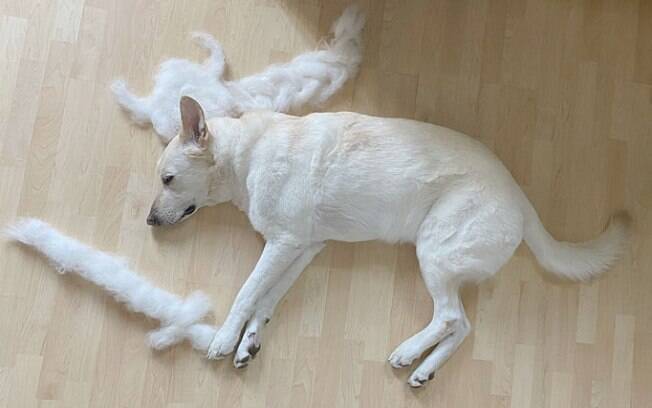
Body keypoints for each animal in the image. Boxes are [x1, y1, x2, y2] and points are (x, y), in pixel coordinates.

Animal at [144, 97, 632, 388]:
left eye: (167, 179)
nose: (147, 221)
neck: (246, 156)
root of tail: (520, 199)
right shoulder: (302, 247)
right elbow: (267, 300)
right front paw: (248, 343)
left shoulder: (281, 245)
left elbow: (247, 293)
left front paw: (225, 340)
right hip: (444, 262)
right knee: (462, 325)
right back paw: (425, 370)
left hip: (434, 252)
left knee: (449, 316)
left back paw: (408, 352)